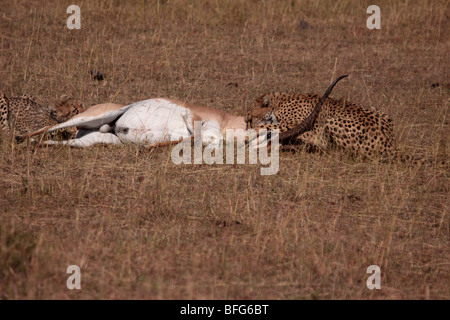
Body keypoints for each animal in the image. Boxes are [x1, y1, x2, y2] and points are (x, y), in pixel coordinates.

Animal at [244, 75, 410, 162]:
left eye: (250, 118)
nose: (247, 121)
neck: (280, 100)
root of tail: (391, 145)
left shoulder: (291, 122)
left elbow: (261, 129)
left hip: (332, 121)